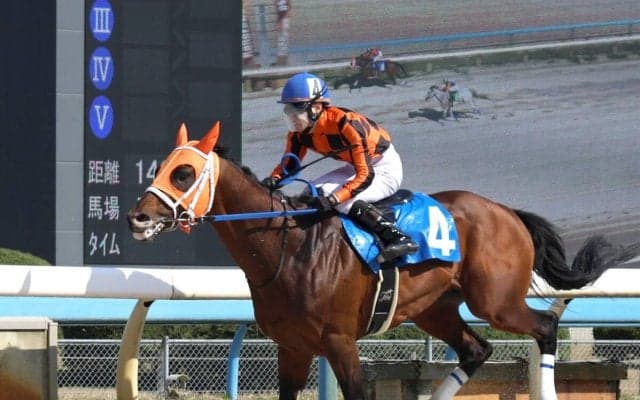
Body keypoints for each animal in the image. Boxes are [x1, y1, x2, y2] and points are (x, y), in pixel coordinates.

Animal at [127, 122, 640, 400]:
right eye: (161, 167)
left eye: (184, 172)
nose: (138, 217)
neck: (287, 249)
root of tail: (506, 210)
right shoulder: (292, 347)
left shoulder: (340, 342)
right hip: (437, 309)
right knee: (476, 350)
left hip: (497, 301)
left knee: (545, 328)